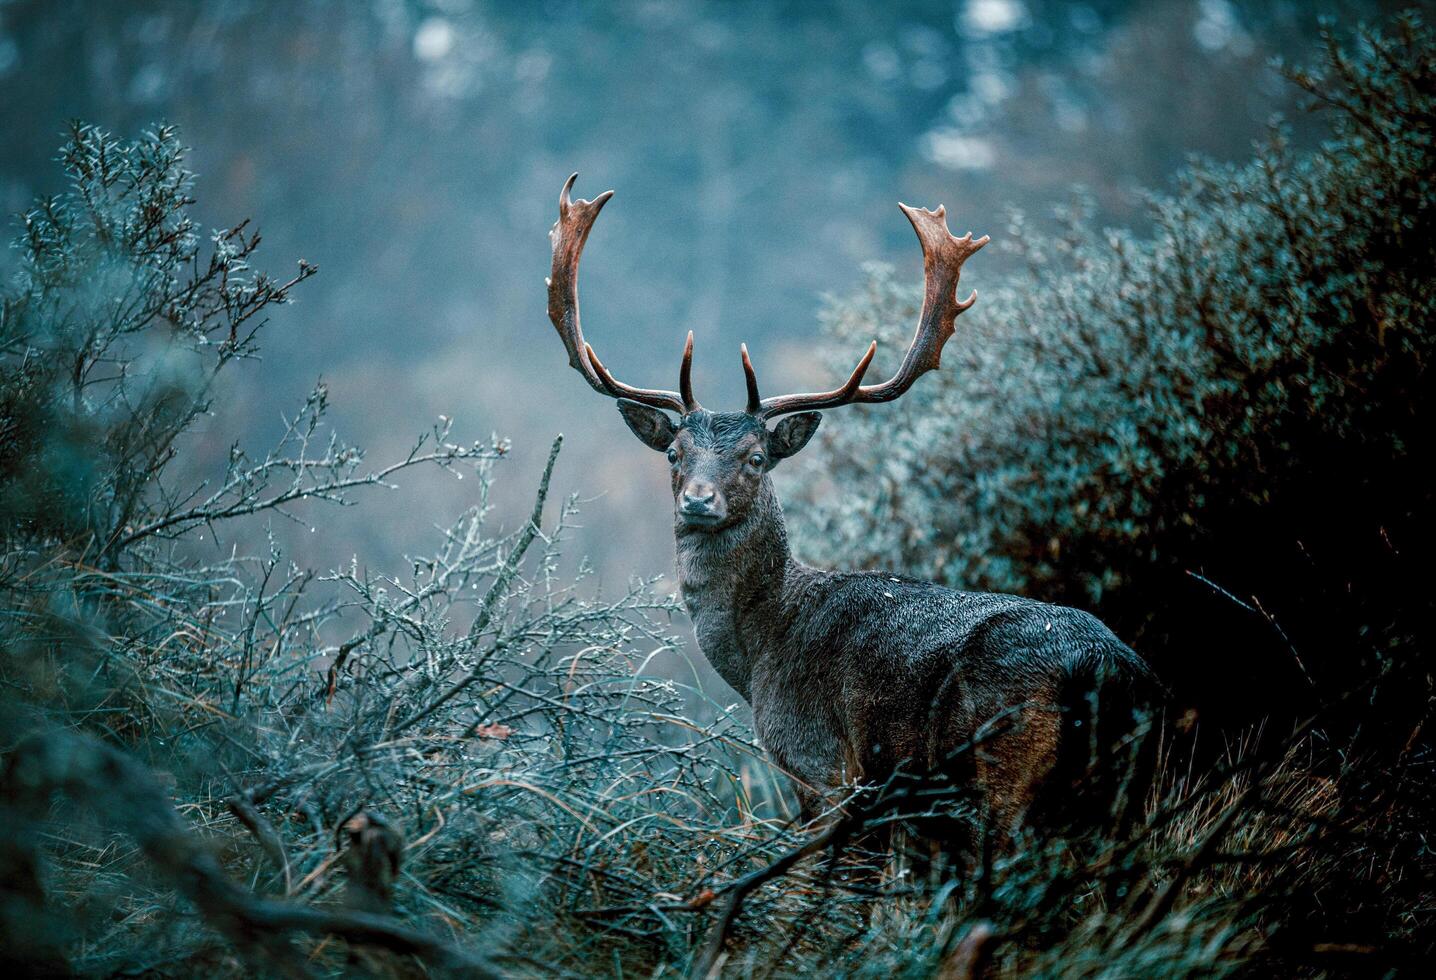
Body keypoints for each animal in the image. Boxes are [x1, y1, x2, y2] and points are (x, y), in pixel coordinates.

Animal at [542, 171, 1160, 833]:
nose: (699, 501)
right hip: (1130, 789)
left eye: (756, 458)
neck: (761, 653)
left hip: (1004, 772)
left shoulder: (825, 767)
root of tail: (1106, 671)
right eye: (673, 454)